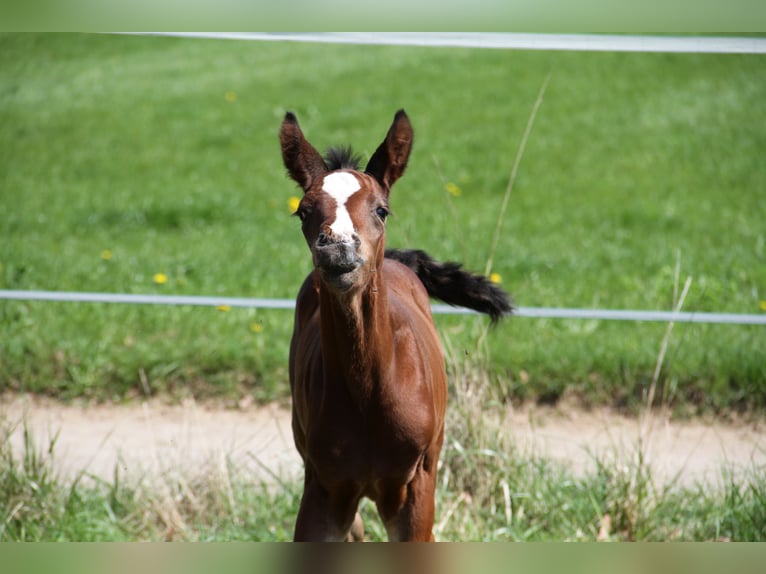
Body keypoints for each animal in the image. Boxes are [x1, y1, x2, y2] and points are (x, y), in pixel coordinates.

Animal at [280, 109, 512, 544]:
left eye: (381, 210)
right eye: (303, 211)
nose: (338, 249)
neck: (368, 395)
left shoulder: (414, 491)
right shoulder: (323, 488)